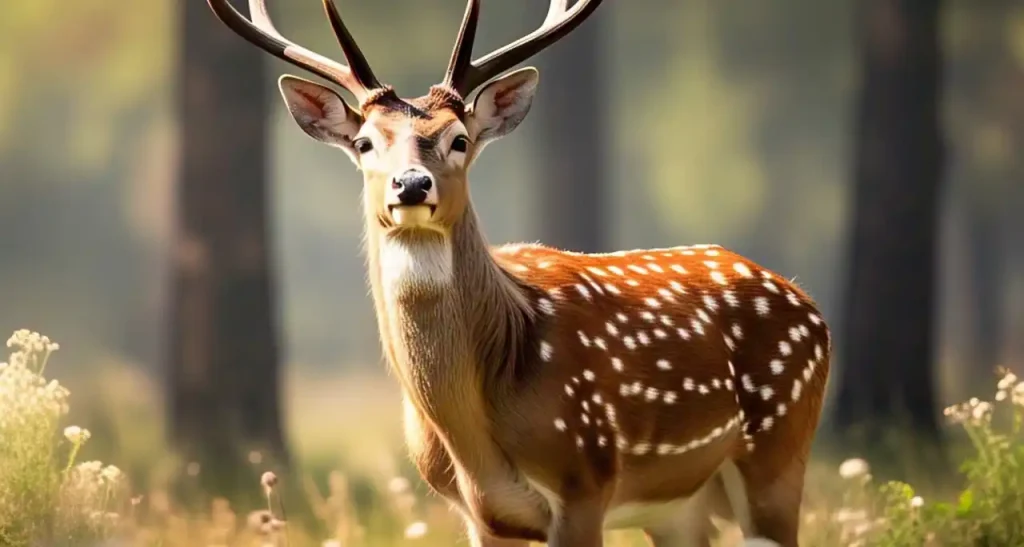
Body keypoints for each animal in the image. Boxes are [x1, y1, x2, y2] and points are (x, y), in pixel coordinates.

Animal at [206, 0, 832, 545]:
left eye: (459, 139)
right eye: (364, 143)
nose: (411, 184)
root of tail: (809, 305)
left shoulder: (585, 479)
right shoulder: (480, 516)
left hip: (780, 451)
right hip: (682, 506)